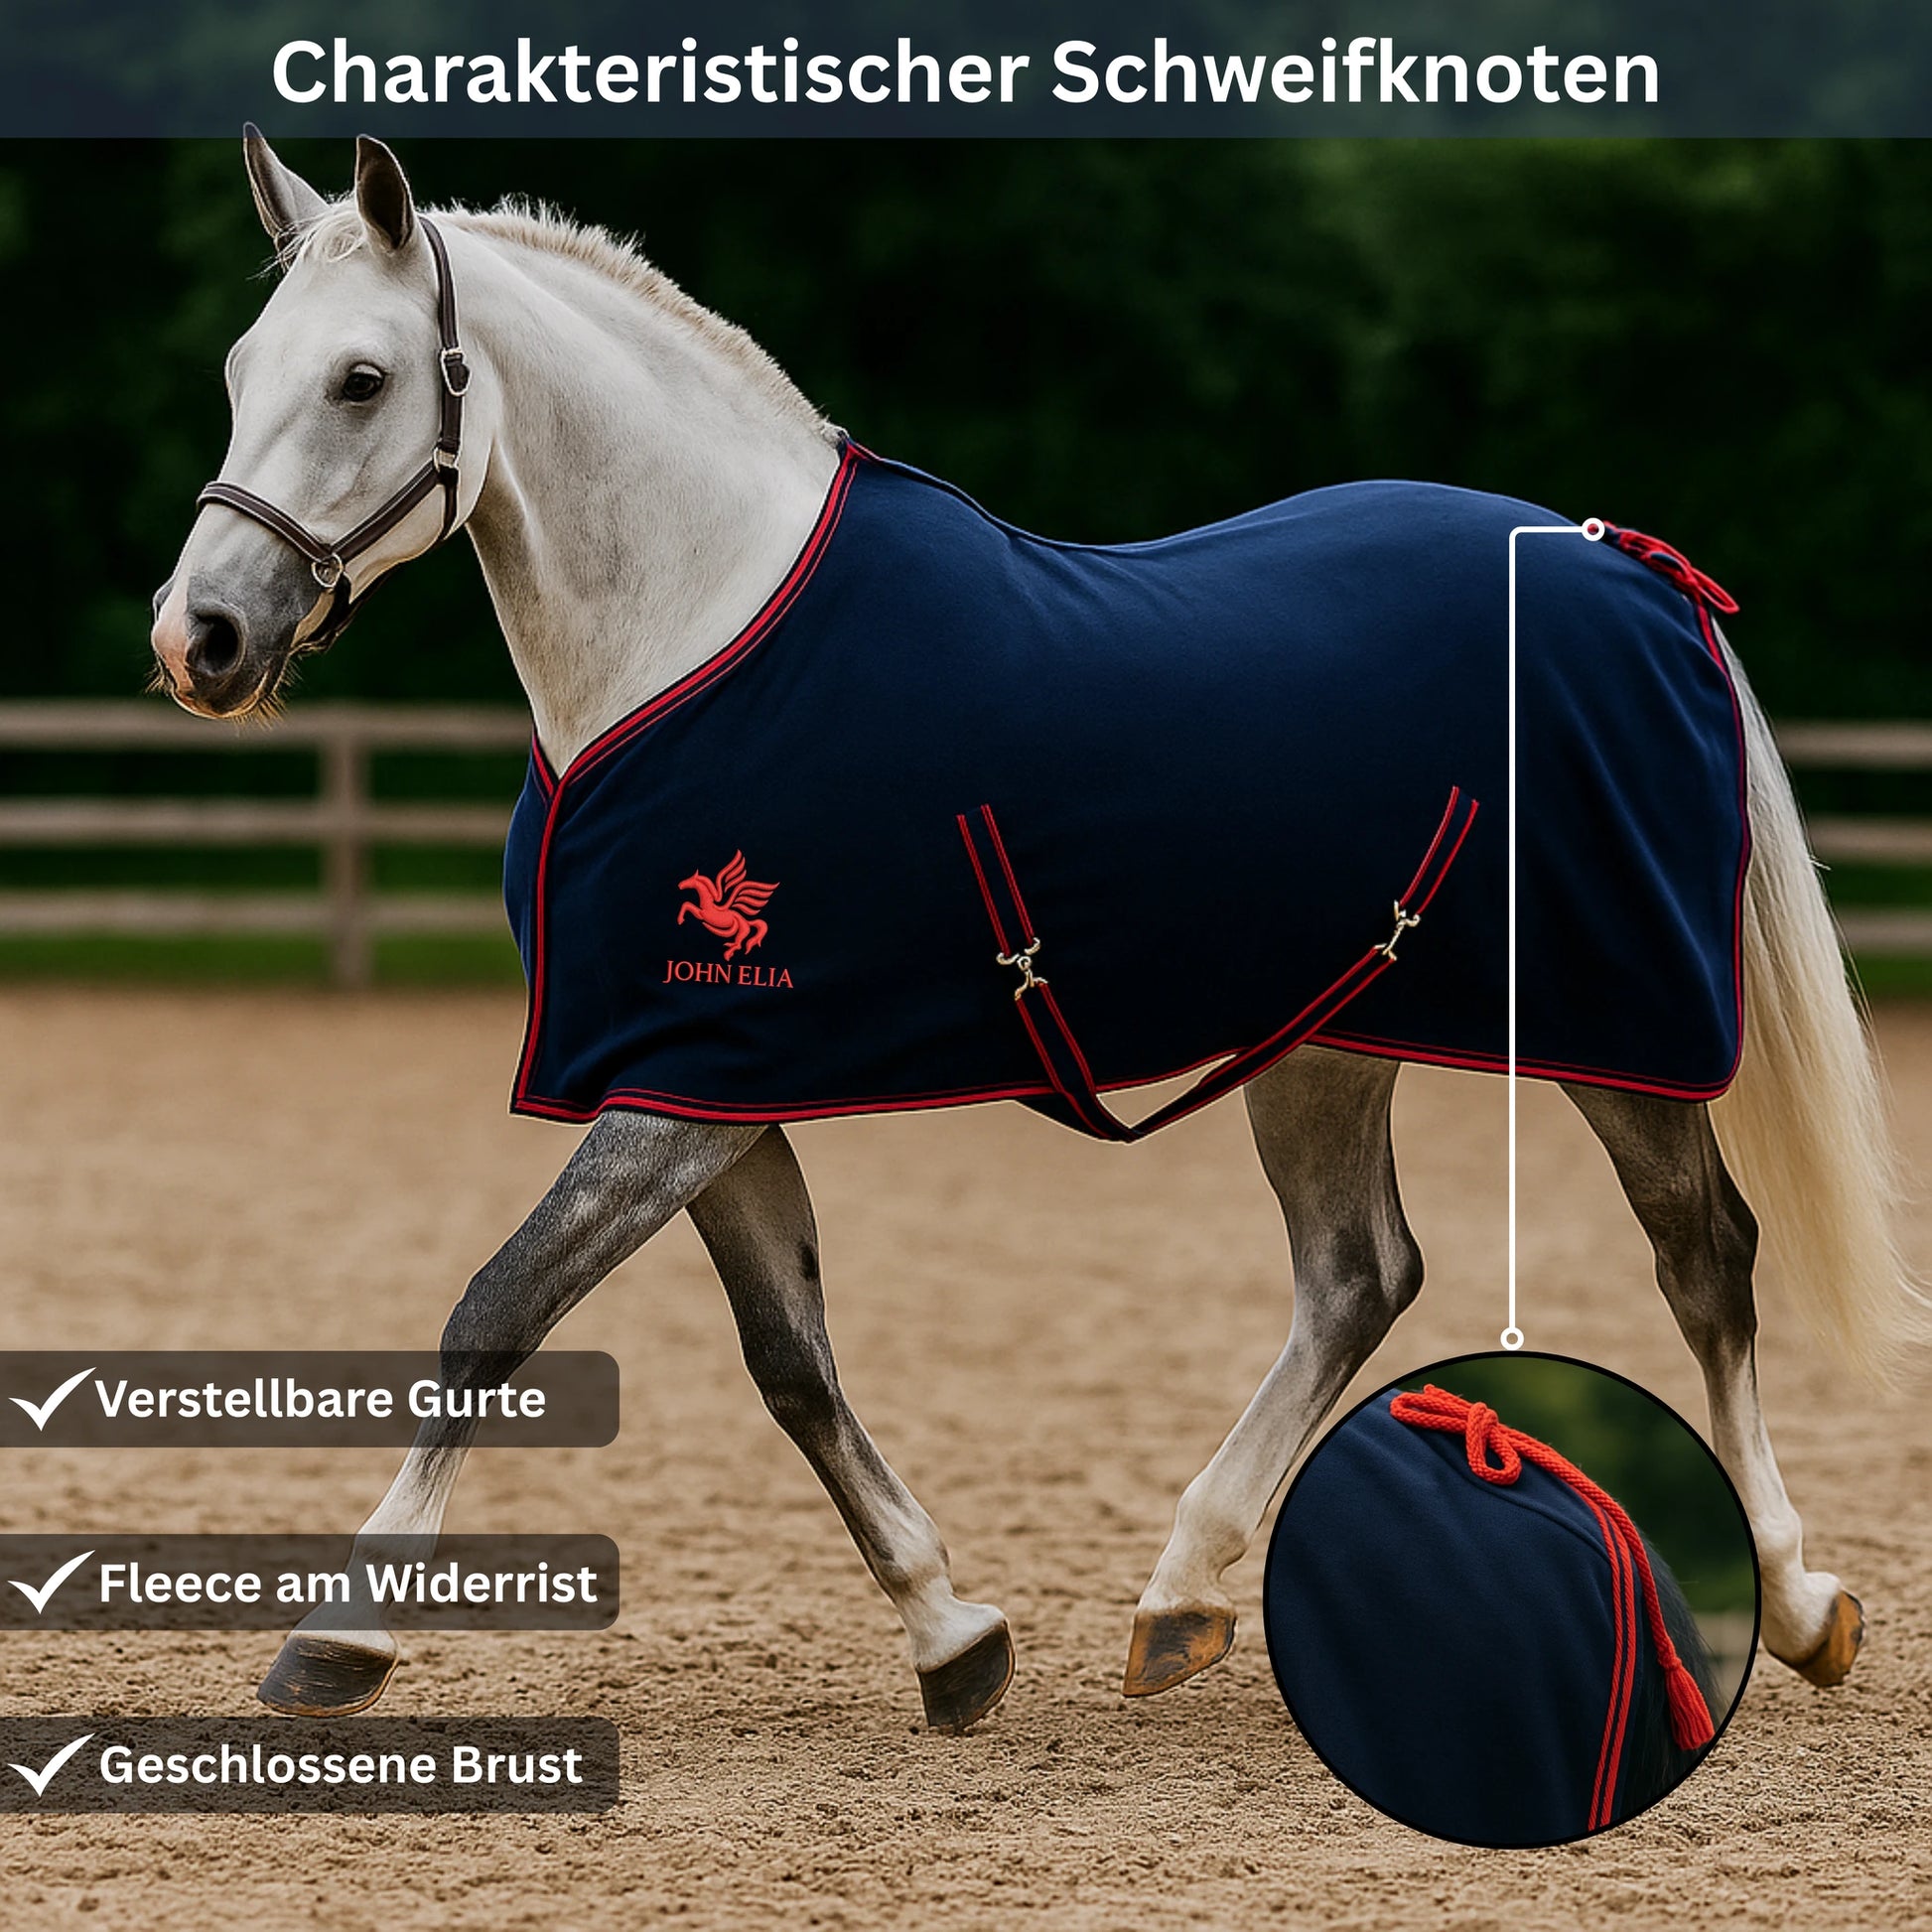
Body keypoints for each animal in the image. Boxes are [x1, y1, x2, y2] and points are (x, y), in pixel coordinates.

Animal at [149, 132, 1915, 1735]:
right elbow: (789, 1359)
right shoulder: (707, 1068)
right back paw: (1183, 1596)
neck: (696, 637)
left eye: (363, 379)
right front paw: (952, 1634)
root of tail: (1623, 563)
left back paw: (1790, 1595)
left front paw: (341, 1637)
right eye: (241, 369)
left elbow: (493, 1315)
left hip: (1610, 1026)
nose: (200, 638)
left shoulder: (676, 1089)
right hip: (1331, 1031)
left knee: (1703, 1259)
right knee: (1358, 1274)